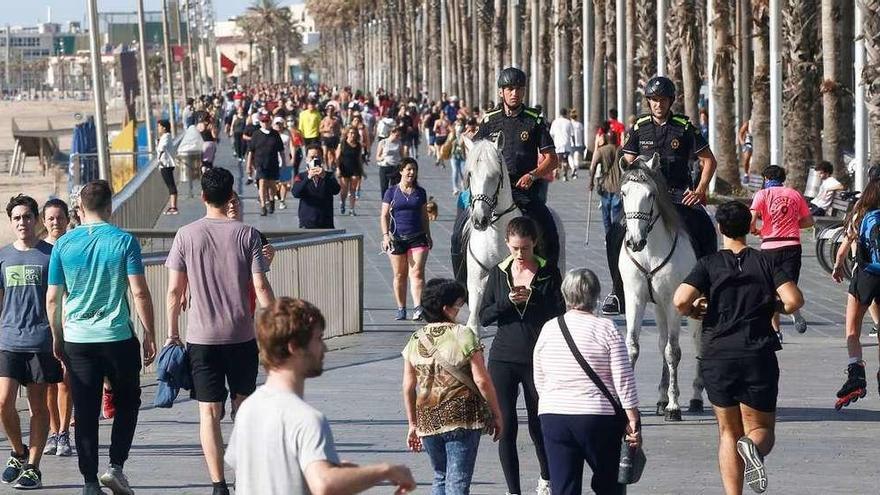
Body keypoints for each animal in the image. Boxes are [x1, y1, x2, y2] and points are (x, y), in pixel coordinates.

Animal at [624, 155, 704, 422]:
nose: (635, 242)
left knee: (697, 344)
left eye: (650, 195)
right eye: (624, 193)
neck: (649, 250)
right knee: (660, 341)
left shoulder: (673, 304)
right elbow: (634, 347)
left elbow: (673, 351)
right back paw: (660, 398)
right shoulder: (634, 299)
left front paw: (674, 406)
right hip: (658, 307)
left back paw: (695, 397)